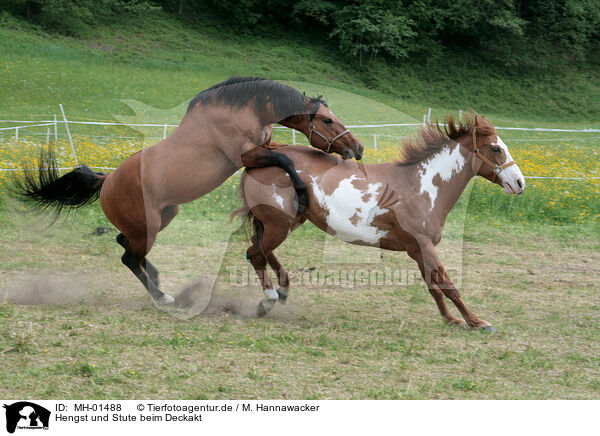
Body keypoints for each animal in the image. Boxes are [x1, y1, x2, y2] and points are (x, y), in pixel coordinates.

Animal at [16, 76, 364, 306]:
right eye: (327, 121)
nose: (357, 148)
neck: (243, 110)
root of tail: (107, 179)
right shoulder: (245, 155)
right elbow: (286, 161)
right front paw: (303, 195)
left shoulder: (265, 145)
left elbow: (286, 154)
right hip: (148, 226)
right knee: (129, 257)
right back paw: (164, 297)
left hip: (161, 218)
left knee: (126, 246)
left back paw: (158, 280)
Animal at [239, 114, 524, 328]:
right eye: (496, 149)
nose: (520, 183)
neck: (420, 186)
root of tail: (263, 156)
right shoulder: (425, 245)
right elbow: (448, 285)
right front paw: (476, 322)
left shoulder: (417, 249)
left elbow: (433, 286)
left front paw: (451, 319)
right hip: (279, 224)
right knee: (255, 254)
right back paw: (267, 301)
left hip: (284, 223)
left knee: (261, 251)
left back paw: (282, 291)